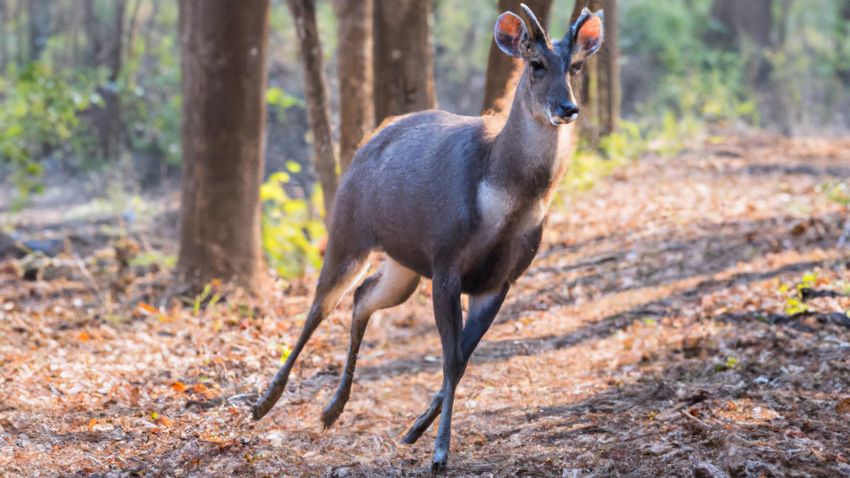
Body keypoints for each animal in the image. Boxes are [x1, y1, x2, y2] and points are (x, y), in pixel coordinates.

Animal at [252, 3, 604, 472]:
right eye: (536, 65)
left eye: (577, 66)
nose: (568, 108)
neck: (502, 197)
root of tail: (369, 139)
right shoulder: (445, 260)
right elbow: (452, 358)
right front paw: (439, 452)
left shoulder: (501, 280)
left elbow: (463, 358)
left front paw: (416, 431)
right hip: (348, 232)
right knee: (319, 307)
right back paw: (264, 404)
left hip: (403, 266)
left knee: (363, 296)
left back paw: (331, 410)